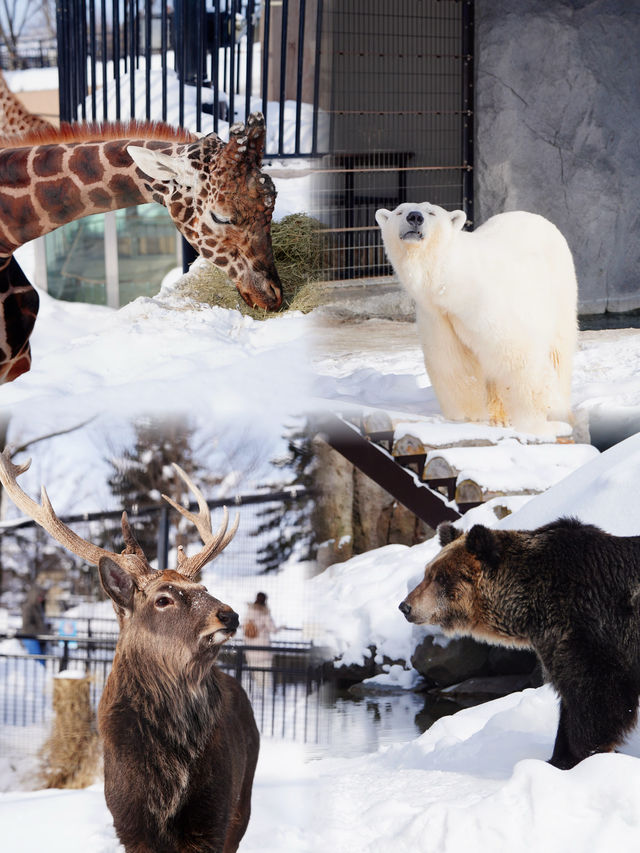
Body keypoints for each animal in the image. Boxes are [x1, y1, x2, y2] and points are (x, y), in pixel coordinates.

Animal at [0, 450, 260, 848]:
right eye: (163, 598)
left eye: (203, 588)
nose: (229, 615)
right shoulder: (128, 821)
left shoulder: (212, 816)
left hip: (243, 798)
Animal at [376, 203, 580, 436]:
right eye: (400, 212)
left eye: (431, 212)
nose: (415, 217)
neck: (453, 282)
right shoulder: (438, 315)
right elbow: (455, 363)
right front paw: (468, 417)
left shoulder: (487, 305)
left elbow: (519, 356)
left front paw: (539, 424)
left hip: (558, 290)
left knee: (558, 351)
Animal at [398, 516, 640, 768]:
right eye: (427, 572)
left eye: (440, 577)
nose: (406, 606)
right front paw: (557, 758)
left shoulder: (592, 627)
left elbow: (596, 697)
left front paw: (582, 756)